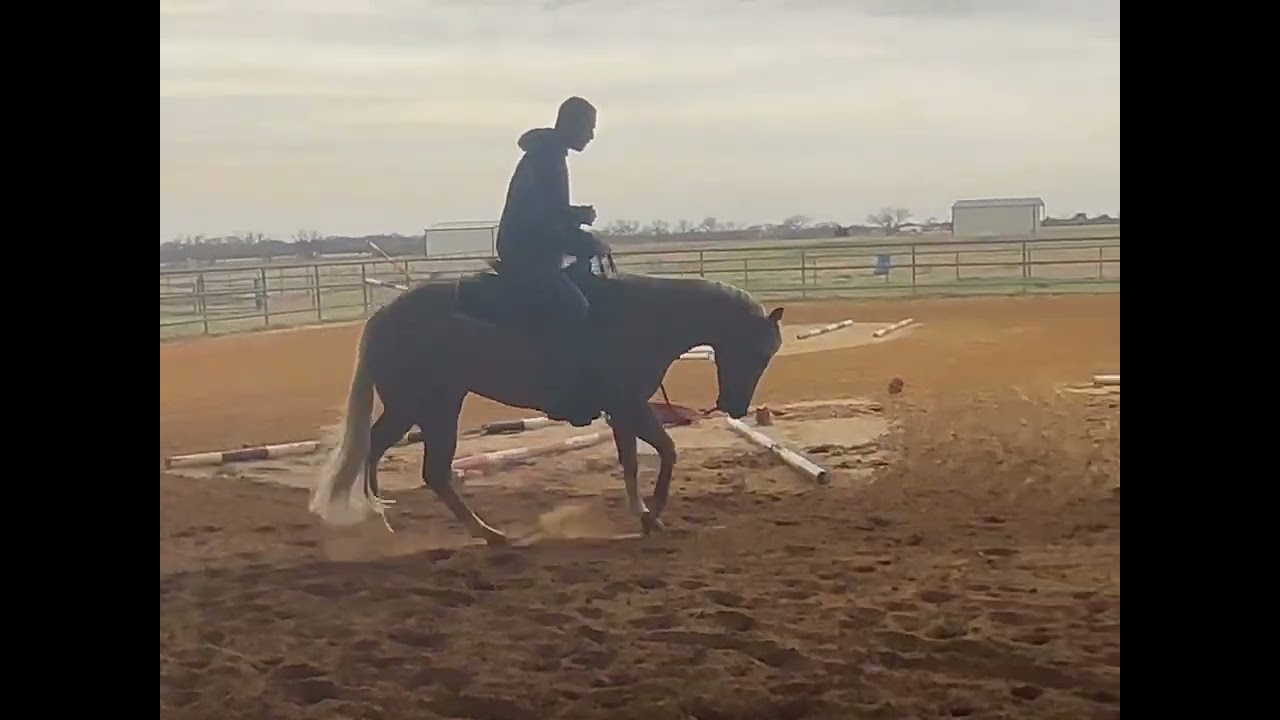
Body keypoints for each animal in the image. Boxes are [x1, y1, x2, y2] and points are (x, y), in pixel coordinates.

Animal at [308, 256, 785, 545]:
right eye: (757, 350)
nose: (737, 406)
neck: (642, 318)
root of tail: (383, 316)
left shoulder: (621, 411)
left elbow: (631, 461)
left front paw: (642, 512)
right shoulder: (630, 404)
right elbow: (666, 451)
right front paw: (653, 516)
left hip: (419, 407)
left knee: (385, 452)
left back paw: (390, 522)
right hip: (431, 406)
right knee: (424, 468)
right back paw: (476, 533)